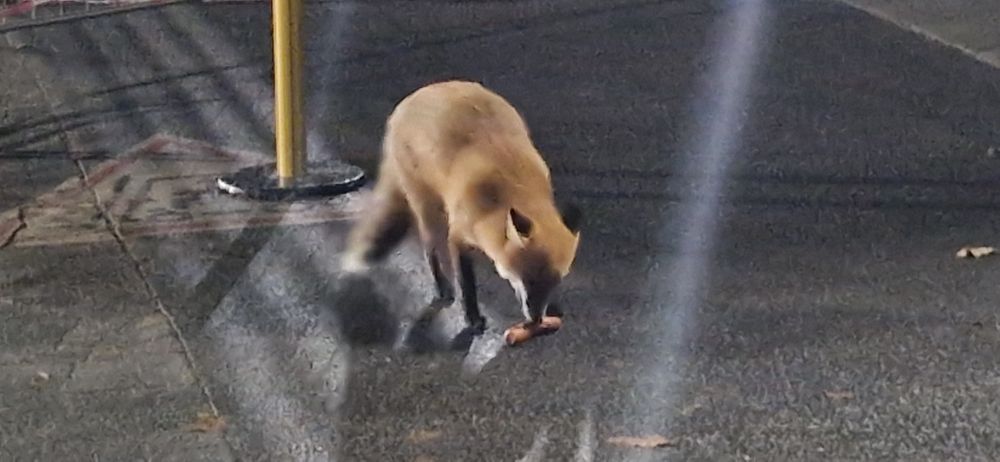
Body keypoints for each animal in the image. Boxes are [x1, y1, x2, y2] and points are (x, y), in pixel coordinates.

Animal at [340, 80, 583, 334]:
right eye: (530, 279)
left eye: (556, 282)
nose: (536, 320)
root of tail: (409, 100)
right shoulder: (458, 236)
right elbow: (467, 282)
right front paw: (472, 317)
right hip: (430, 211)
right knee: (430, 250)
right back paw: (443, 288)